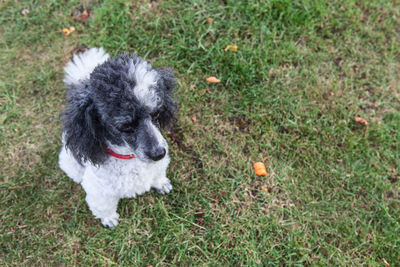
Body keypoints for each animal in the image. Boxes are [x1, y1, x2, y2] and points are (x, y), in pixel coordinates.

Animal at [58, 48, 177, 228]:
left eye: (157, 113)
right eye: (125, 126)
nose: (158, 154)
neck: (129, 157)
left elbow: (158, 174)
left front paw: (161, 184)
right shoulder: (99, 191)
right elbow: (103, 206)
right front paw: (108, 219)